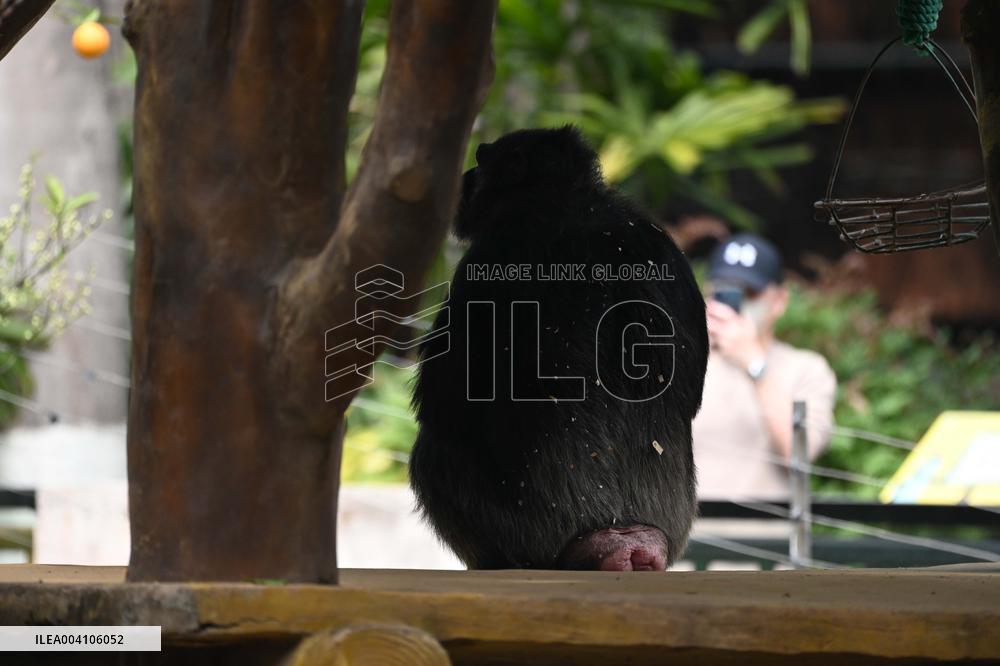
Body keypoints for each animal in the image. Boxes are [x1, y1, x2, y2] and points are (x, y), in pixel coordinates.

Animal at [409, 126, 708, 571]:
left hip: (530, 538)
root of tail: (624, 539)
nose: (466, 176)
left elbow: (444, 397)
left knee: (433, 456)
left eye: (482, 158)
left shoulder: (484, 264)